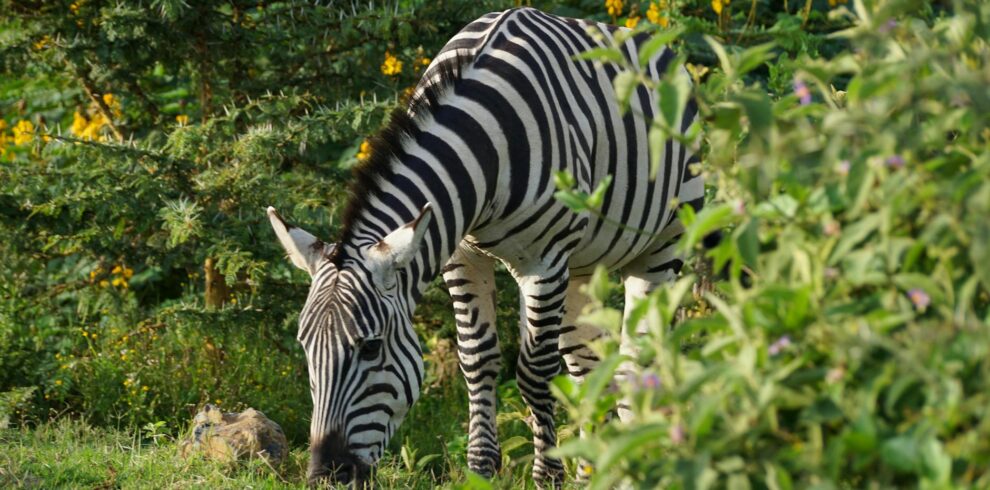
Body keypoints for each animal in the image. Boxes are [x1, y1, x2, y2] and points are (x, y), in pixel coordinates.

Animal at [268, 6, 700, 486]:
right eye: (306, 347)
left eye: (370, 348)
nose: (326, 476)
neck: (486, 142)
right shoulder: (461, 256)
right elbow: (477, 359)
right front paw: (480, 468)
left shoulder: (544, 262)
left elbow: (534, 372)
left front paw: (548, 475)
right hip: (583, 267)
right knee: (589, 363)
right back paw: (598, 469)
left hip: (664, 244)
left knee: (636, 360)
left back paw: (642, 461)